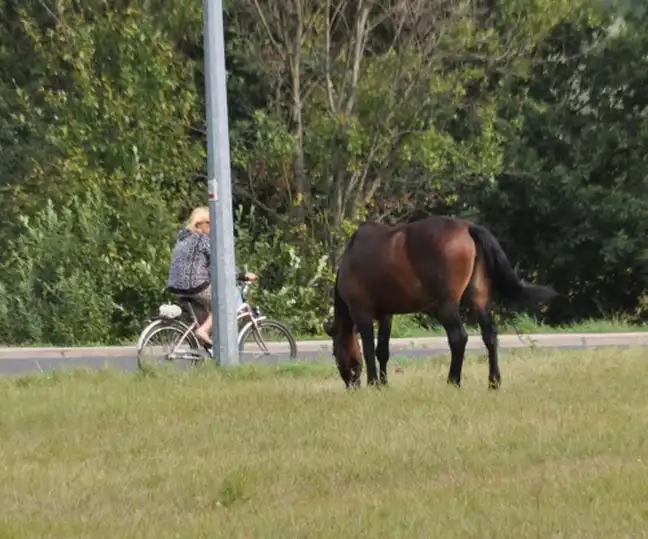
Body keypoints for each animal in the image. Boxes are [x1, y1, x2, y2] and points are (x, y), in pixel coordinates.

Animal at [322, 216, 556, 392]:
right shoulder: (386, 315)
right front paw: (385, 384)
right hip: (479, 298)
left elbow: (370, 350)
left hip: (446, 305)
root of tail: (467, 228)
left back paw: (453, 380)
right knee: (489, 335)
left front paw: (374, 384)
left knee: (458, 337)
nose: (351, 385)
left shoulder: (361, 312)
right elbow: (383, 351)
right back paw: (493, 382)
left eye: (335, 351)